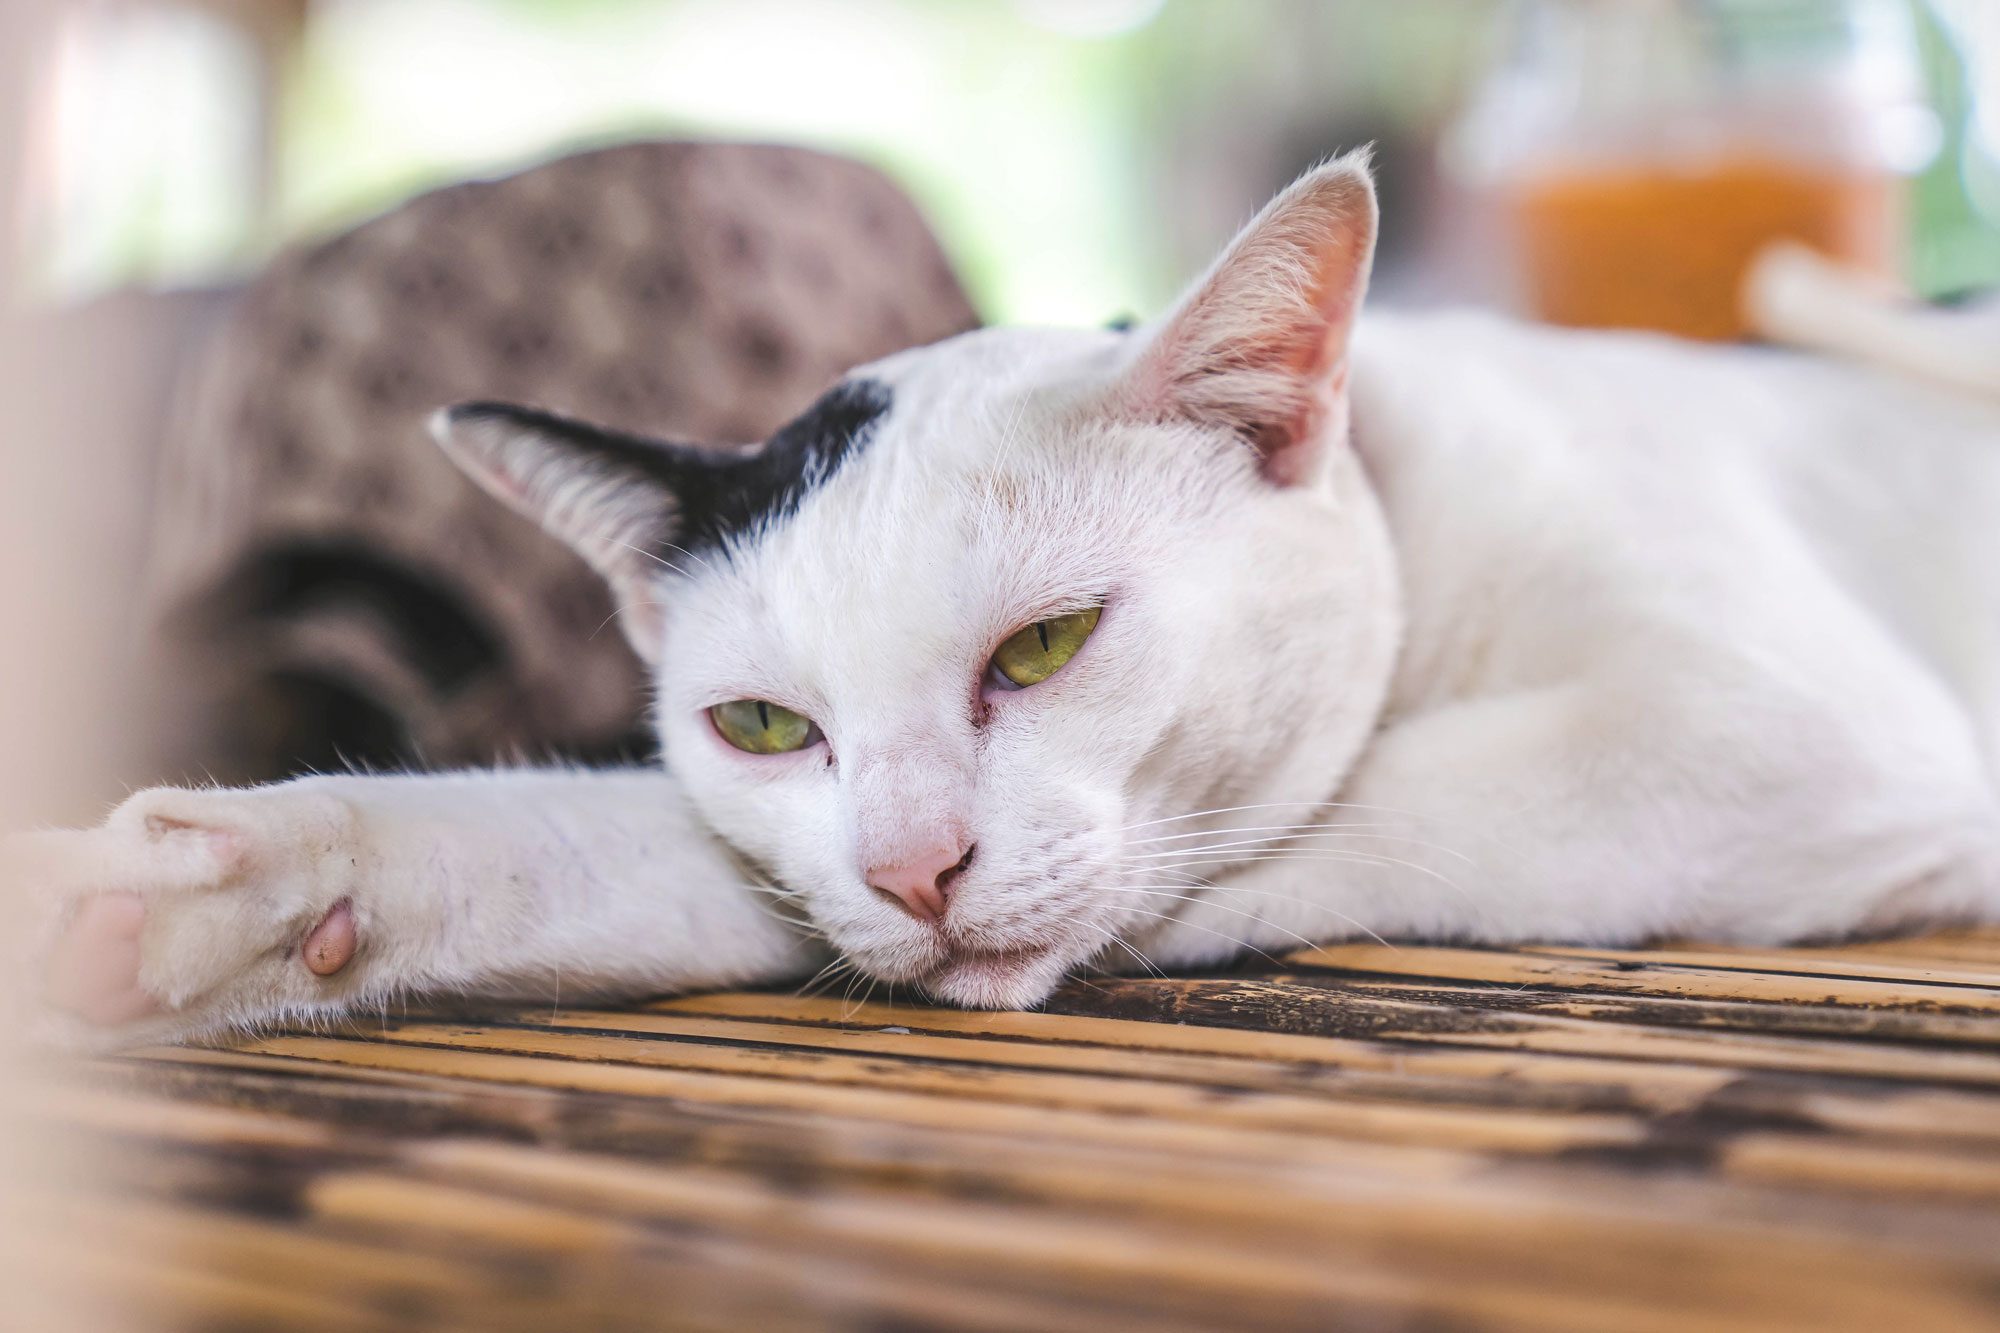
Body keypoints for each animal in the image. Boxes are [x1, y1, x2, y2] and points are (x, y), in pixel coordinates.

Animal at [15, 153, 2000, 1048]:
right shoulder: (779, 862)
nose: (912, 870)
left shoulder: (1784, 733)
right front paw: (210, 900)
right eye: (764, 725)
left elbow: (1344, 811)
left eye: (1045, 647)